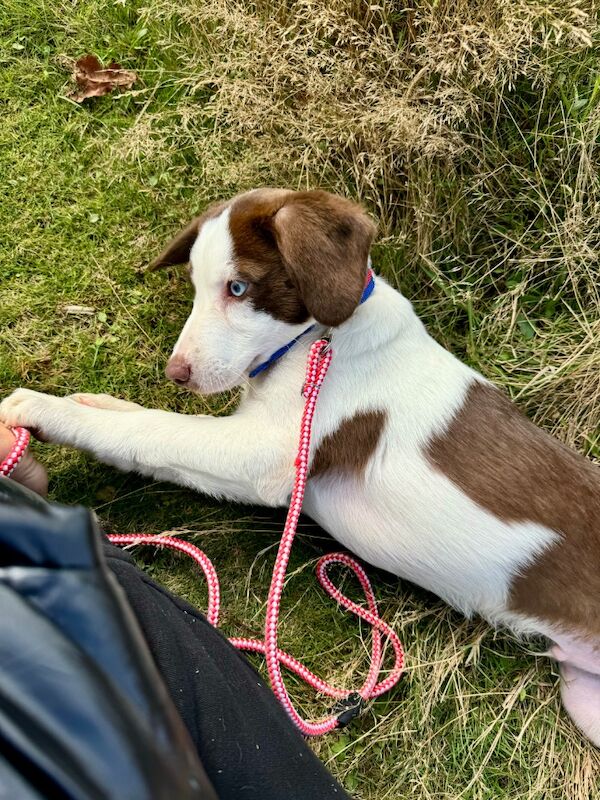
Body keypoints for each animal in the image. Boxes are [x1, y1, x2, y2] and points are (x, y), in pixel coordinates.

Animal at [1, 191, 600, 748]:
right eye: (195, 285)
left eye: (238, 288)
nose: (177, 373)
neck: (319, 341)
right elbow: (143, 420)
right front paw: (98, 402)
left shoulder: (260, 455)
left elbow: (155, 431)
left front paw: (48, 411)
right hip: (584, 699)